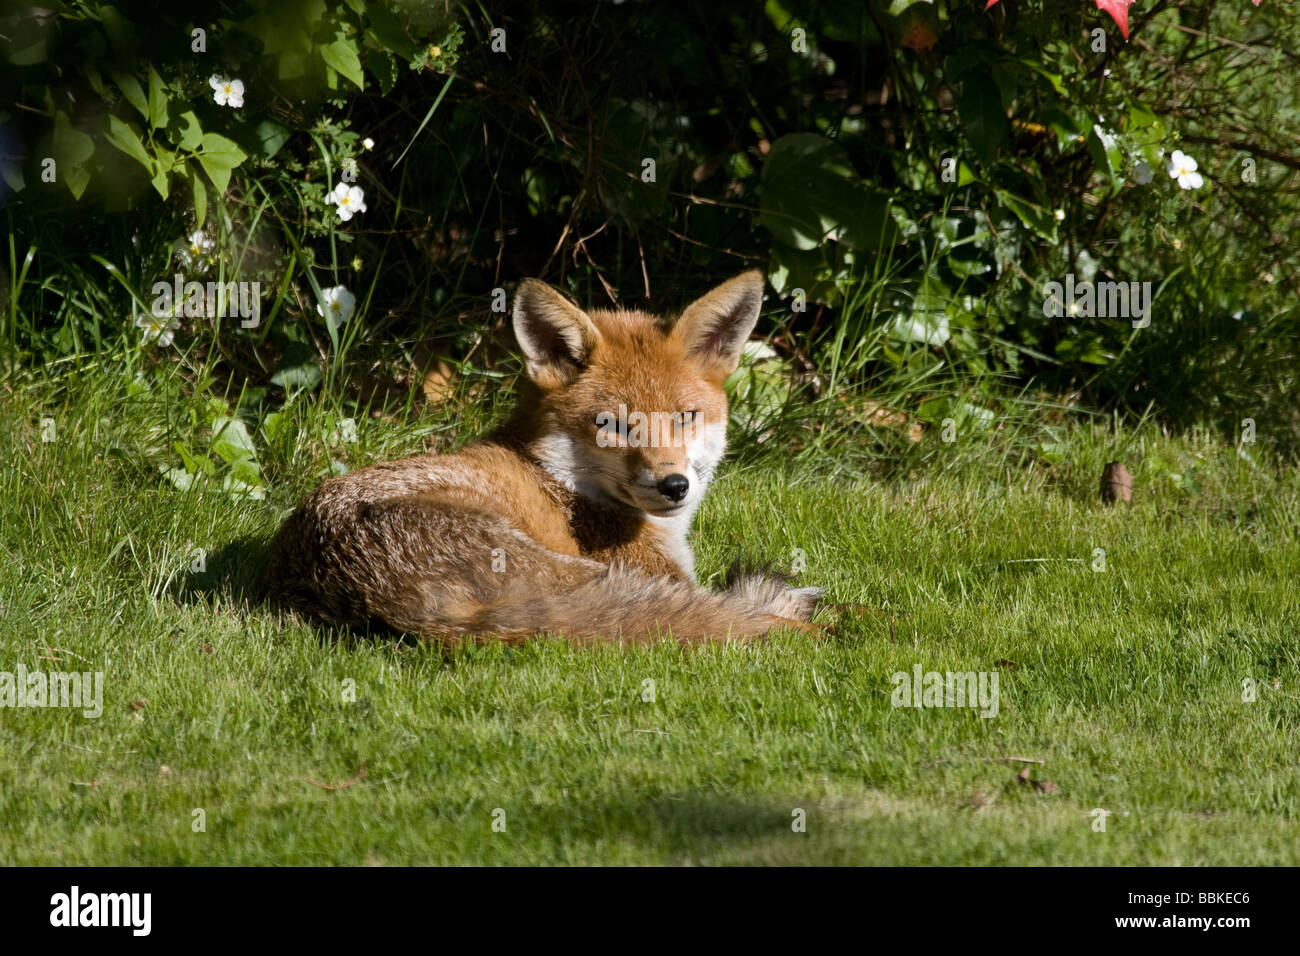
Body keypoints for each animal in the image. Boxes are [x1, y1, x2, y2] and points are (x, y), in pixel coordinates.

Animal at [261, 269, 821, 647]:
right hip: (569, 572)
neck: (559, 477)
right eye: (612, 424)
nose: (674, 485)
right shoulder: (652, 575)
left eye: (686, 417)